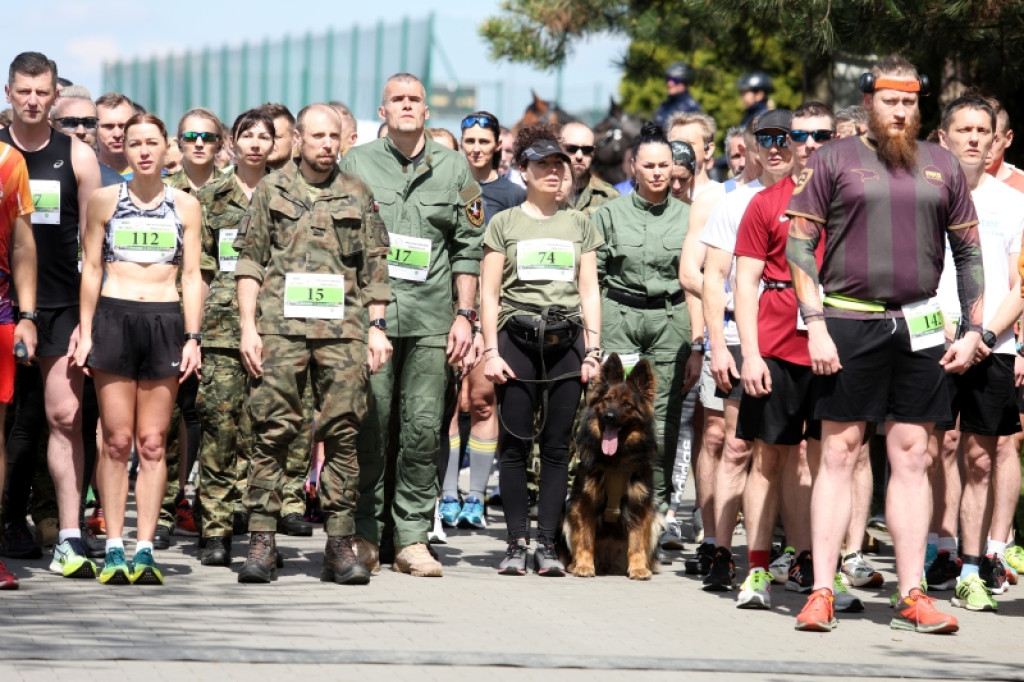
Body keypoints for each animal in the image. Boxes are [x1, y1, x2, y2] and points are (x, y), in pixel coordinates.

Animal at [561, 350, 663, 577]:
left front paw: (638, 568)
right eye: (607, 400)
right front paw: (584, 566)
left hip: (655, 520)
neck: (616, 460)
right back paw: (574, 564)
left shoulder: (639, 503)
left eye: (627, 404)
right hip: (567, 516)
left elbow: (636, 542)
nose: (609, 416)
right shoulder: (585, 502)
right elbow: (586, 539)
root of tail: (608, 564)